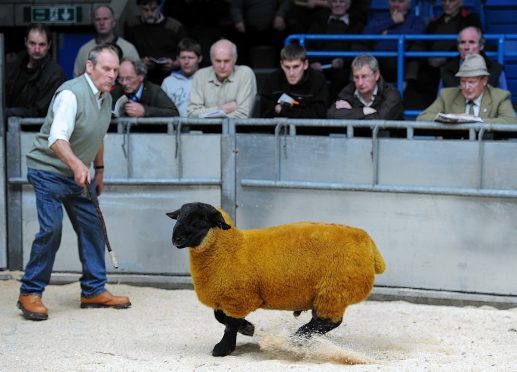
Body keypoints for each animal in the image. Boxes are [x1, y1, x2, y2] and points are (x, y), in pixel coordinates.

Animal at [167, 203, 384, 358]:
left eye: (200, 219)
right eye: (179, 217)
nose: (175, 239)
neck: (231, 248)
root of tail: (369, 244)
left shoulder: (239, 298)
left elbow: (230, 324)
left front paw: (222, 349)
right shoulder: (229, 299)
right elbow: (221, 318)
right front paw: (248, 328)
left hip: (334, 291)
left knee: (328, 322)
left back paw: (294, 339)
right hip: (329, 295)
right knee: (322, 322)